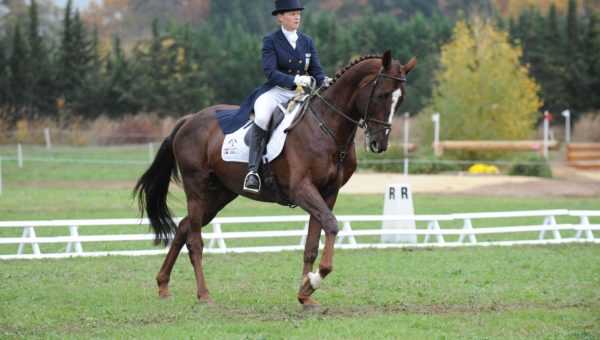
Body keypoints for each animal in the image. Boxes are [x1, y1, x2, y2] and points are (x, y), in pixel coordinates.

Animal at [135, 49, 418, 310]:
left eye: (401, 99)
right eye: (382, 95)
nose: (379, 144)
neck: (328, 127)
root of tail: (189, 120)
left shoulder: (327, 193)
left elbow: (312, 244)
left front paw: (305, 294)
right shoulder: (302, 189)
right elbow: (331, 223)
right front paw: (315, 280)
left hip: (221, 192)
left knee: (184, 226)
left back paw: (163, 285)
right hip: (197, 185)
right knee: (194, 239)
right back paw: (204, 295)